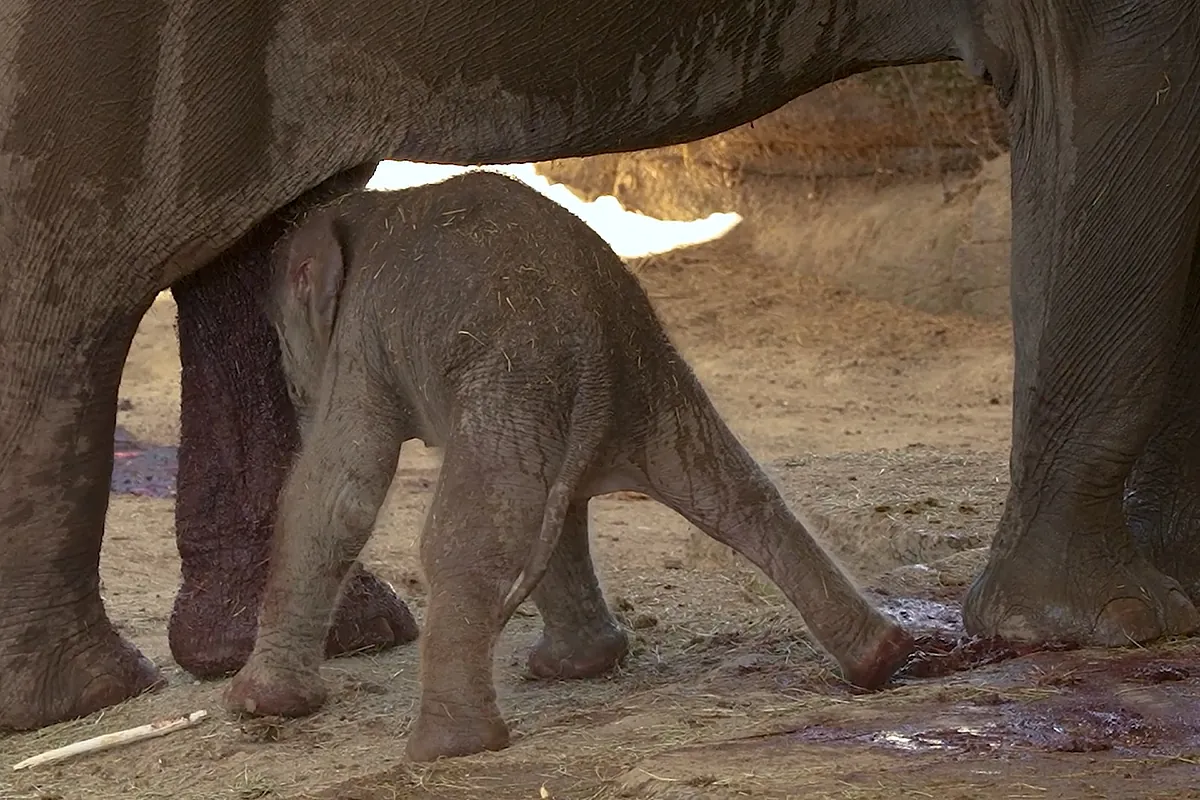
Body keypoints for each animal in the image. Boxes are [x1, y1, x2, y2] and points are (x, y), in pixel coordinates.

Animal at [221, 171, 915, 760]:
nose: (294, 387)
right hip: (631, 378)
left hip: (519, 378)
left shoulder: (361, 336)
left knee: (470, 536)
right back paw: (881, 659)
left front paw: (252, 706)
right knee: (727, 491)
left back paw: (447, 748)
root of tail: (594, 353)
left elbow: (338, 493)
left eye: (280, 340)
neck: (360, 211)